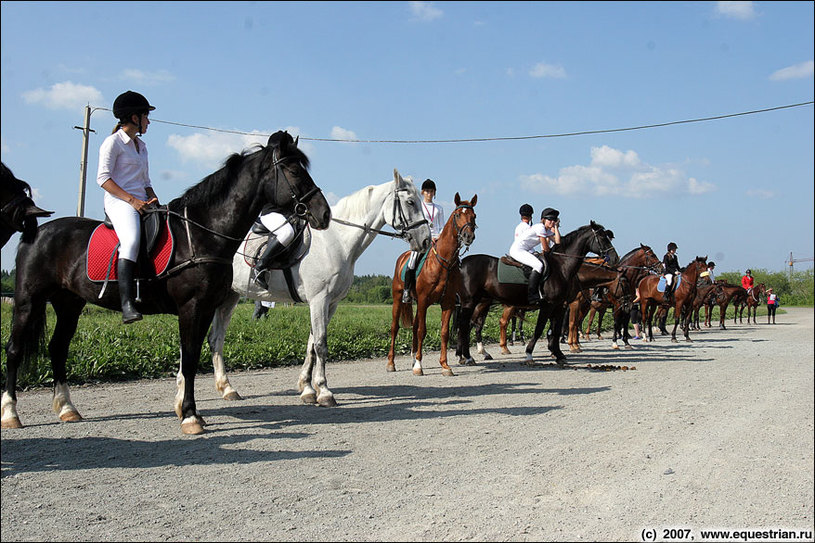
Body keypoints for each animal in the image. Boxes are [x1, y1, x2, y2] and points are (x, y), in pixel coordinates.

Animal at [1, 130, 332, 436]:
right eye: (294, 171)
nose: (324, 213)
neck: (202, 234)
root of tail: (37, 231)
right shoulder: (191, 308)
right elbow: (189, 359)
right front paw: (189, 416)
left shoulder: (205, 309)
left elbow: (192, 357)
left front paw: (190, 412)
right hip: (28, 301)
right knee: (14, 350)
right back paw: (11, 414)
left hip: (69, 303)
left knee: (58, 348)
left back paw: (67, 409)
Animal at [193, 168, 434, 410]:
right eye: (411, 202)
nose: (425, 241)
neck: (337, 241)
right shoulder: (319, 299)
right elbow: (320, 344)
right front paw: (324, 391)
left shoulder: (331, 303)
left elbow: (311, 345)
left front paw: (307, 389)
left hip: (230, 296)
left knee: (216, 339)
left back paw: (227, 388)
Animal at [388, 193, 478, 376]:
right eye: (457, 215)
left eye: (474, 216)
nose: (468, 236)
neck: (444, 262)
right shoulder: (424, 301)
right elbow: (422, 331)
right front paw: (418, 366)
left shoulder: (448, 303)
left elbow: (444, 332)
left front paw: (445, 365)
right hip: (398, 299)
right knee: (395, 328)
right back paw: (391, 363)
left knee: (414, 326)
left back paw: (412, 357)